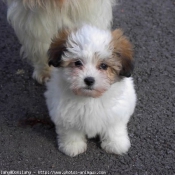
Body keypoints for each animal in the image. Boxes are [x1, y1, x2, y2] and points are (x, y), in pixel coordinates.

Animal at [44, 25, 137, 157]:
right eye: (77, 63)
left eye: (103, 66)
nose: (89, 80)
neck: (90, 98)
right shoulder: (65, 113)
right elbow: (70, 130)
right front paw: (72, 145)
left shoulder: (116, 113)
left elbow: (114, 128)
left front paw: (115, 144)